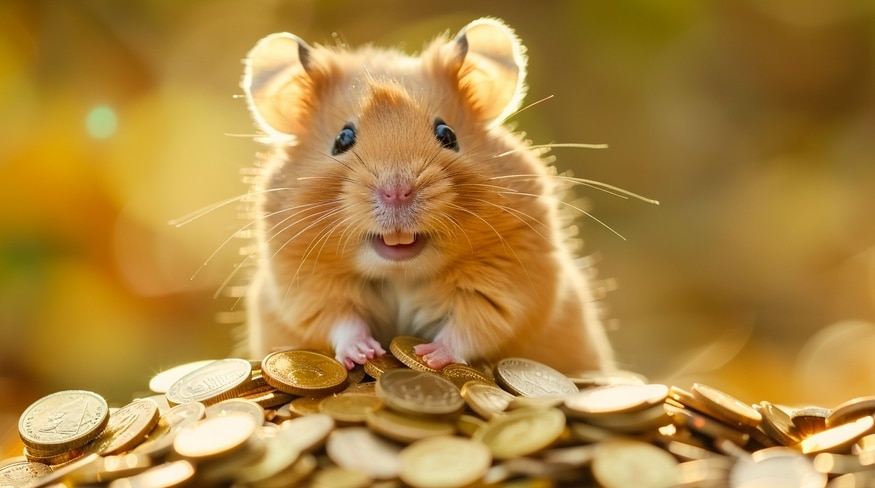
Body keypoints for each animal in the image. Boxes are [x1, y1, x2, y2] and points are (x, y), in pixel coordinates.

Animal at [241, 17, 615, 373]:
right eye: (342, 139)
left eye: (447, 134)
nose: (397, 191)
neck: (402, 272)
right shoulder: (302, 284)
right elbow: (338, 319)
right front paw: (364, 354)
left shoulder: (510, 279)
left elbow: (471, 324)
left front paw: (429, 357)